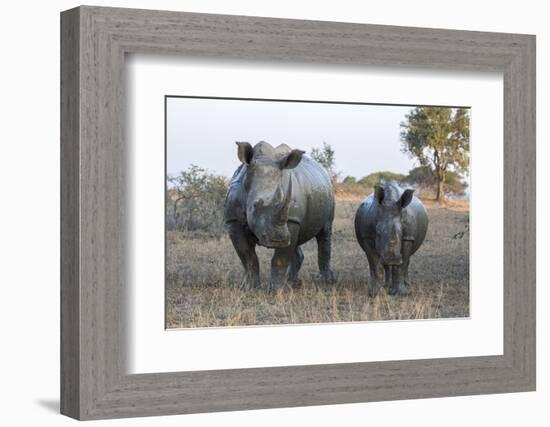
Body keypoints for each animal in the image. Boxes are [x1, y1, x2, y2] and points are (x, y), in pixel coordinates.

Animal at [226, 140, 338, 290]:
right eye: (255, 205)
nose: (279, 240)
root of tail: (323, 171)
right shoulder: (233, 220)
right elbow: (247, 256)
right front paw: (250, 288)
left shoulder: (291, 219)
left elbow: (280, 259)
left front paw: (276, 290)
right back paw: (293, 283)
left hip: (329, 192)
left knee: (325, 231)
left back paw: (325, 281)